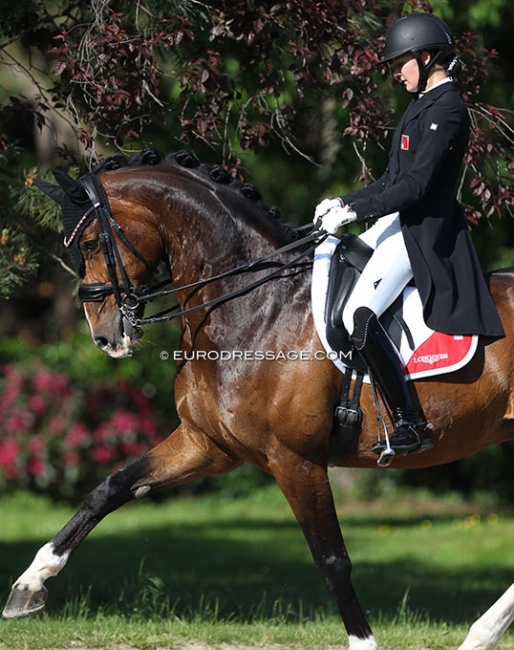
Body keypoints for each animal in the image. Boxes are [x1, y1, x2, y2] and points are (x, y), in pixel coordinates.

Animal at [3, 148, 512, 648]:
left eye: (91, 244)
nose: (105, 336)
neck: (256, 305)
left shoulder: (295, 460)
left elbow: (332, 561)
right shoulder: (207, 444)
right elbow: (110, 488)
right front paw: (28, 584)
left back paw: (480, 633)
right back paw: (480, 635)